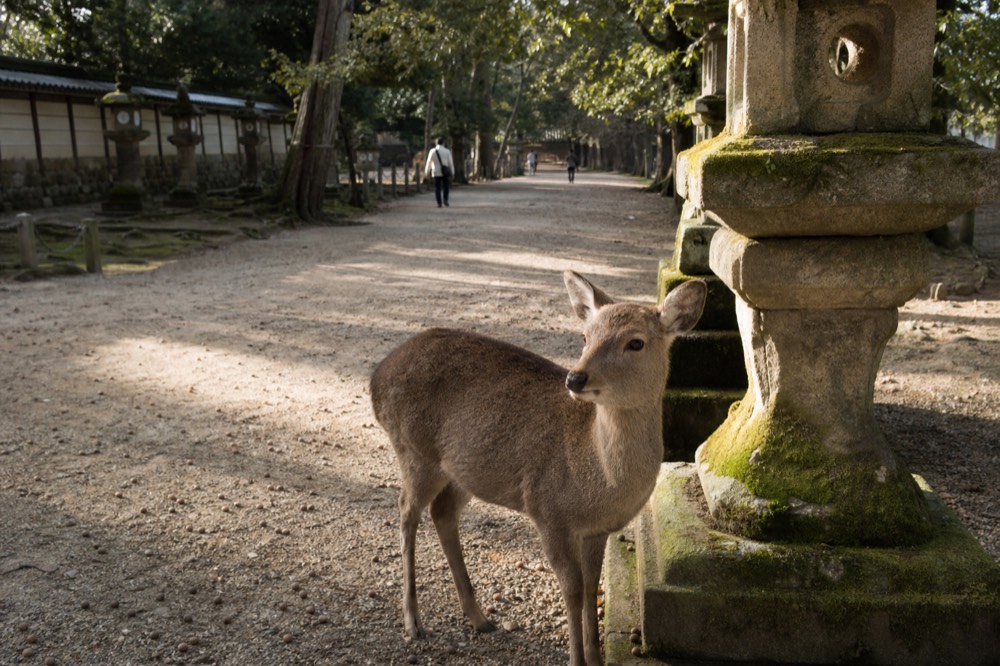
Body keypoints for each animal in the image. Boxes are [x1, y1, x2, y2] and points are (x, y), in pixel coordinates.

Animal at [369, 270, 707, 666]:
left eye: (635, 342)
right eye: (585, 337)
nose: (575, 378)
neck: (599, 481)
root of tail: (376, 376)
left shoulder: (598, 530)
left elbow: (591, 586)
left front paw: (595, 657)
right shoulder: (548, 512)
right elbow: (572, 589)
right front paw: (576, 659)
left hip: (464, 470)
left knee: (443, 511)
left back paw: (480, 618)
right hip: (414, 450)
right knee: (407, 510)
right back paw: (414, 622)